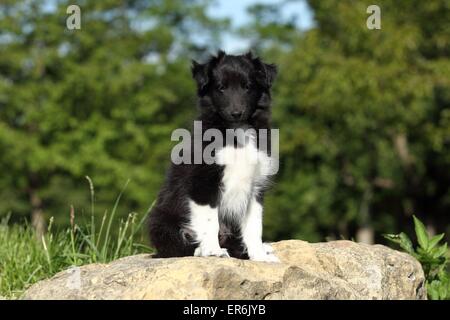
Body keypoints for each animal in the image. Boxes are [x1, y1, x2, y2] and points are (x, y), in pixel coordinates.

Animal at [149, 50, 280, 262]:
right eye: (221, 88)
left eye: (247, 87)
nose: (236, 113)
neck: (236, 131)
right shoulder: (203, 183)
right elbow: (210, 220)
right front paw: (212, 250)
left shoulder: (255, 185)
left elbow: (254, 225)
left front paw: (259, 255)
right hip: (160, 221)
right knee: (176, 247)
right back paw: (202, 249)